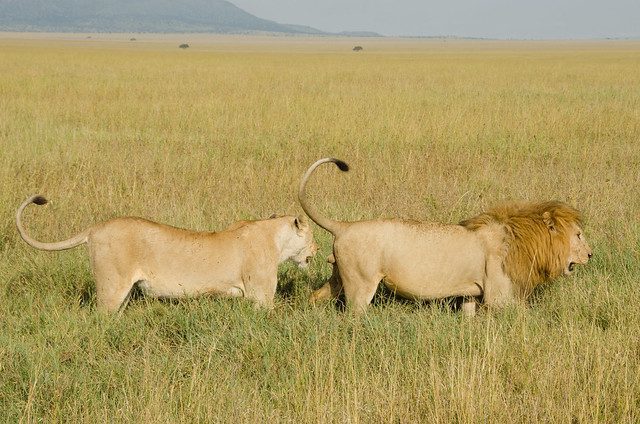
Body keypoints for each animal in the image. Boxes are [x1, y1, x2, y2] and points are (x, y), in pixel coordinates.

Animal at [16, 195, 317, 313]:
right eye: (312, 234)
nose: (317, 248)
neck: (275, 236)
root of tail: (95, 227)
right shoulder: (261, 296)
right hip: (111, 289)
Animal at [299, 158, 591, 314]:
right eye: (578, 235)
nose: (590, 254)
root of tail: (344, 226)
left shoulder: (472, 295)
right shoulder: (499, 297)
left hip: (340, 277)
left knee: (314, 297)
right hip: (361, 285)